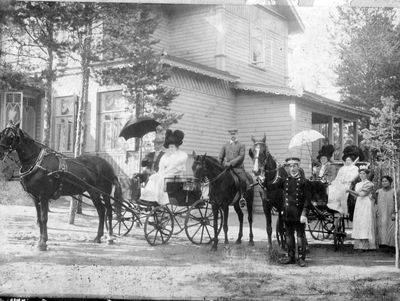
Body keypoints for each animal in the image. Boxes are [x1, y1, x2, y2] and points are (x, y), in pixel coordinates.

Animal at [0, 122, 123, 251]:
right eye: (1, 133)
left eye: (11, 136)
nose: (0, 153)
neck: (37, 163)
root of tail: (108, 165)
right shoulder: (35, 197)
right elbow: (39, 218)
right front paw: (41, 240)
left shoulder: (43, 196)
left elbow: (44, 218)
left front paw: (43, 243)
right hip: (93, 192)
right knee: (101, 211)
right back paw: (98, 237)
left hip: (104, 192)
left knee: (109, 211)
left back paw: (110, 237)